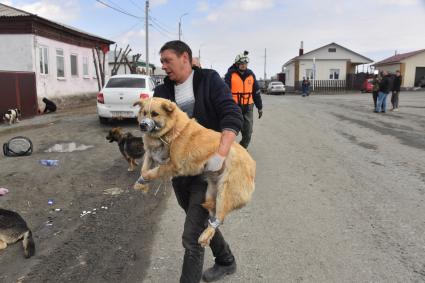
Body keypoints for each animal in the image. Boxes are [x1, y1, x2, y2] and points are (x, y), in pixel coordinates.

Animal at [132, 98, 255, 248]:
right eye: (144, 113)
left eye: (155, 114)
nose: (142, 125)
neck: (172, 130)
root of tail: (252, 165)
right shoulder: (151, 154)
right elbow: (144, 170)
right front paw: (141, 184)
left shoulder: (173, 165)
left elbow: (150, 172)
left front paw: (144, 181)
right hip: (210, 192)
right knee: (213, 215)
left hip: (224, 194)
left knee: (219, 218)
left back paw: (205, 235)